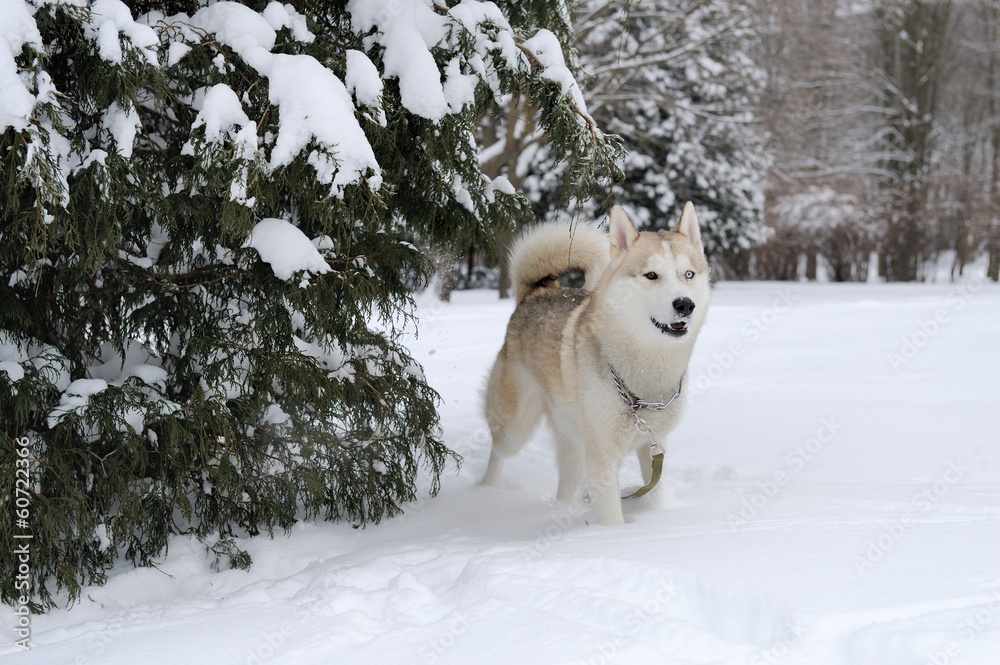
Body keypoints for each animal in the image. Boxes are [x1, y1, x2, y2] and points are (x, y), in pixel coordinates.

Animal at [480, 205, 708, 528]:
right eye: (651, 275)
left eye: (688, 274)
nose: (685, 304)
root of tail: (536, 292)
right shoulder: (603, 459)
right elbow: (612, 516)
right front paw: (612, 536)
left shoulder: (653, 445)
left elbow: (657, 488)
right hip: (516, 427)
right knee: (497, 453)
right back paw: (488, 495)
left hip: (574, 443)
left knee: (566, 482)